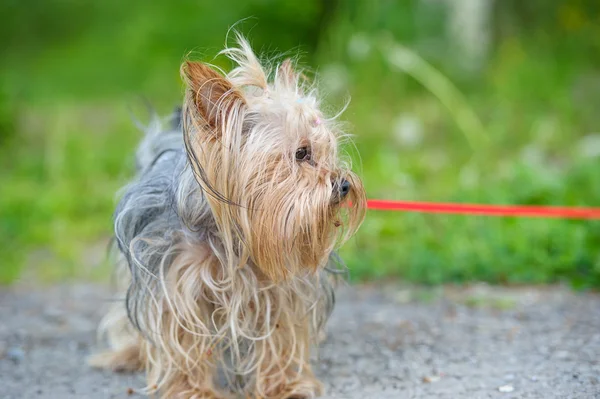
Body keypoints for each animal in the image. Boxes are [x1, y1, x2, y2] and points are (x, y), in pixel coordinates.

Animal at [91, 35, 366, 399]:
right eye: (301, 153)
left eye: (329, 151)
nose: (344, 184)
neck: (235, 238)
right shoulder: (174, 278)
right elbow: (179, 336)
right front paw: (191, 389)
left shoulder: (280, 286)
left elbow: (279, 333)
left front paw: (282, 385)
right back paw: (129, 352)